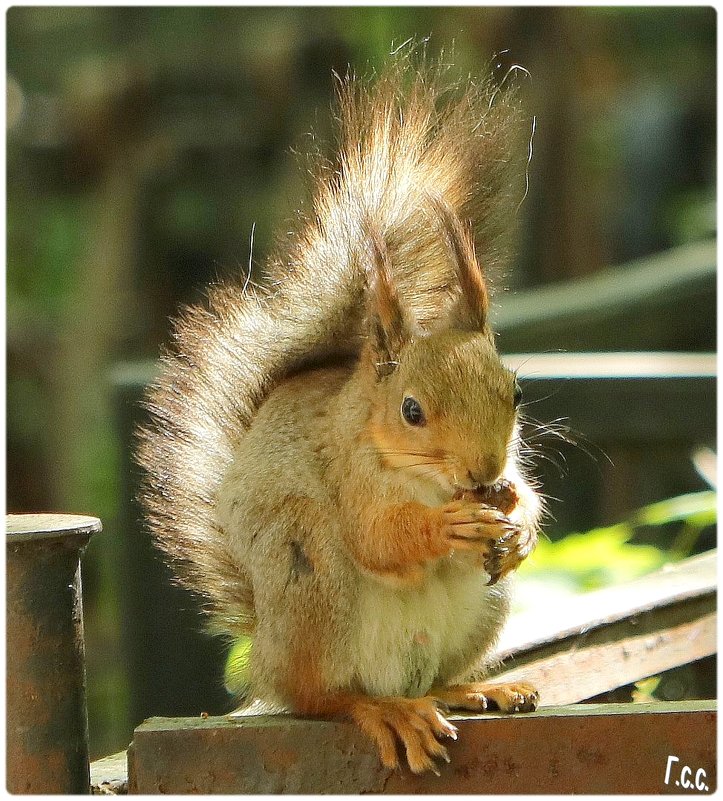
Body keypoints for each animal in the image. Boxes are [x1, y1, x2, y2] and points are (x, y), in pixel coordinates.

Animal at [136, 54, 544, 776]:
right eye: (411, 410)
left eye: (515, 393)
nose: (481, 472)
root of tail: (265, 656)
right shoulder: (351, 472)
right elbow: (377, 536)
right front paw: (445, 526)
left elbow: (527, 495)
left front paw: (517, 521)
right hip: (309, 575)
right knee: (322, 697)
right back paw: (383, 710)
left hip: (480, 609)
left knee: (433, 678)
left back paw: (476, 688)